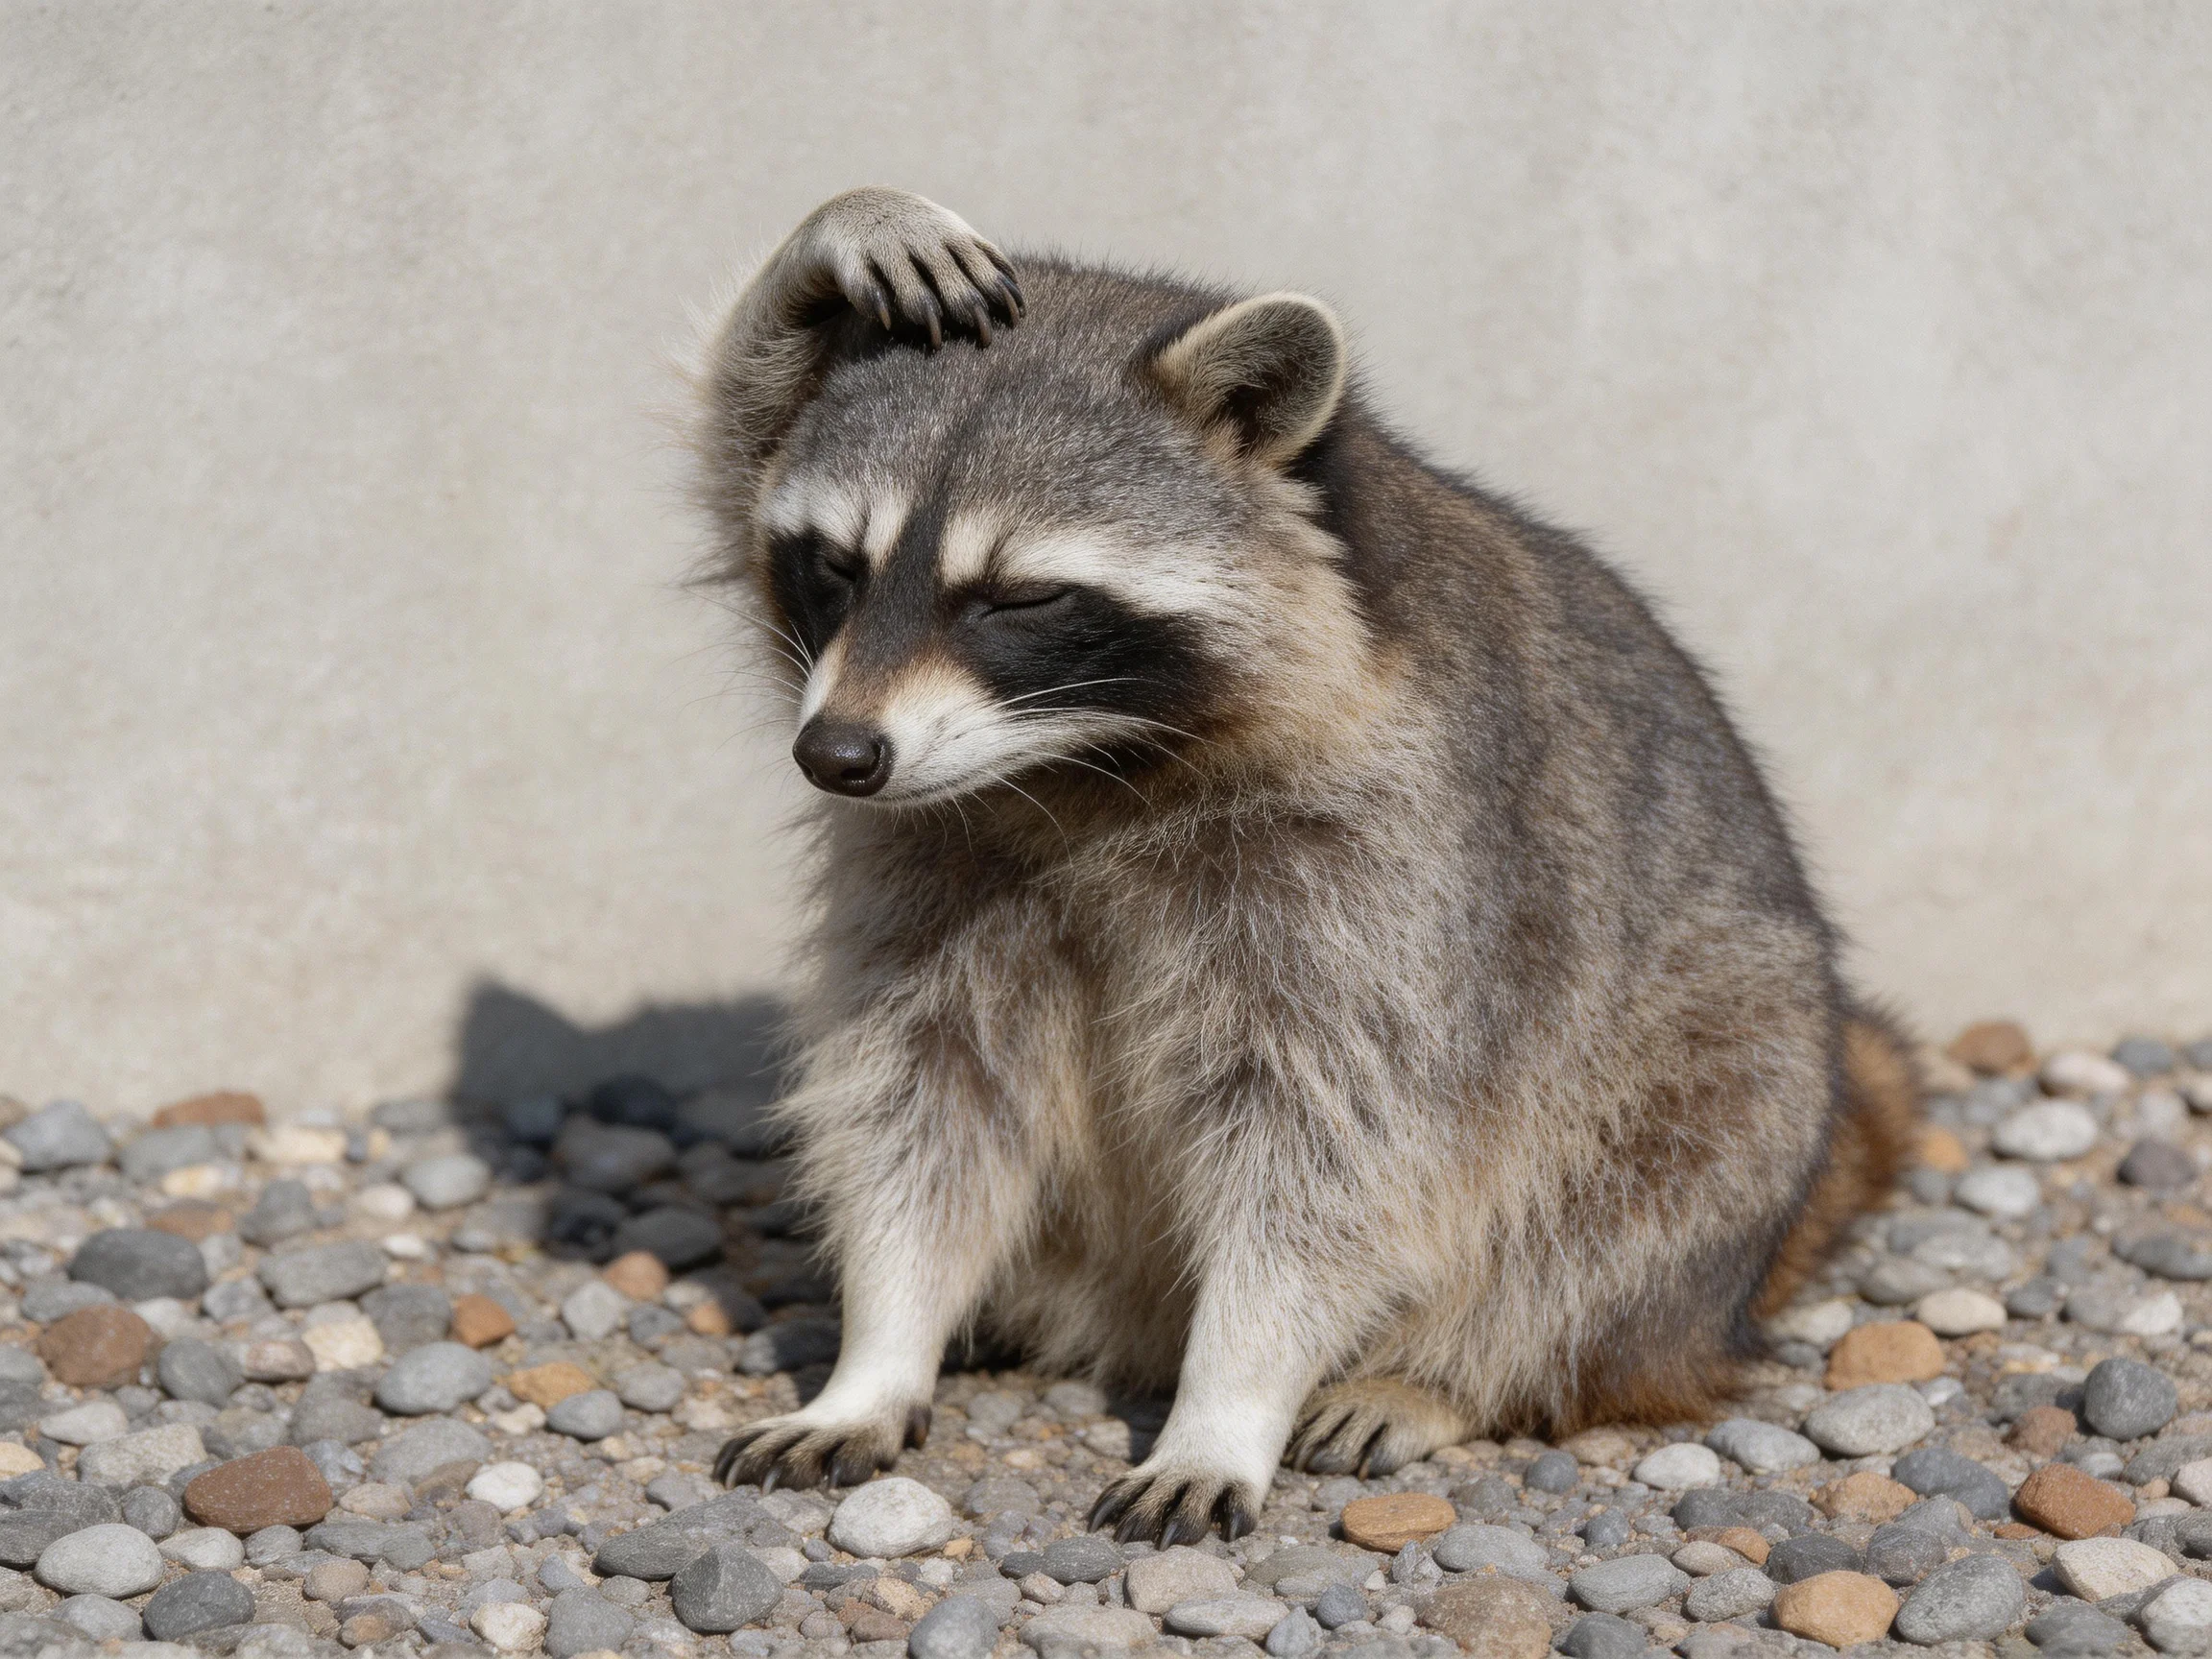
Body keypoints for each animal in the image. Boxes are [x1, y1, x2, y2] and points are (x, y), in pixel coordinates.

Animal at [691, 188, 1918, 1543]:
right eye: (835, 568)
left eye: (1018, 598)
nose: (837, 755)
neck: (1079, 766)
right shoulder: (943, 878)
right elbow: (922, 1104)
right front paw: (878, 1354)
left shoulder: (1393, 879)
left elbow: (1331, 1154)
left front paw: (1231, 1401)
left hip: (1736, 1076)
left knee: (1621, 1215)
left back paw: (1453, 1373)